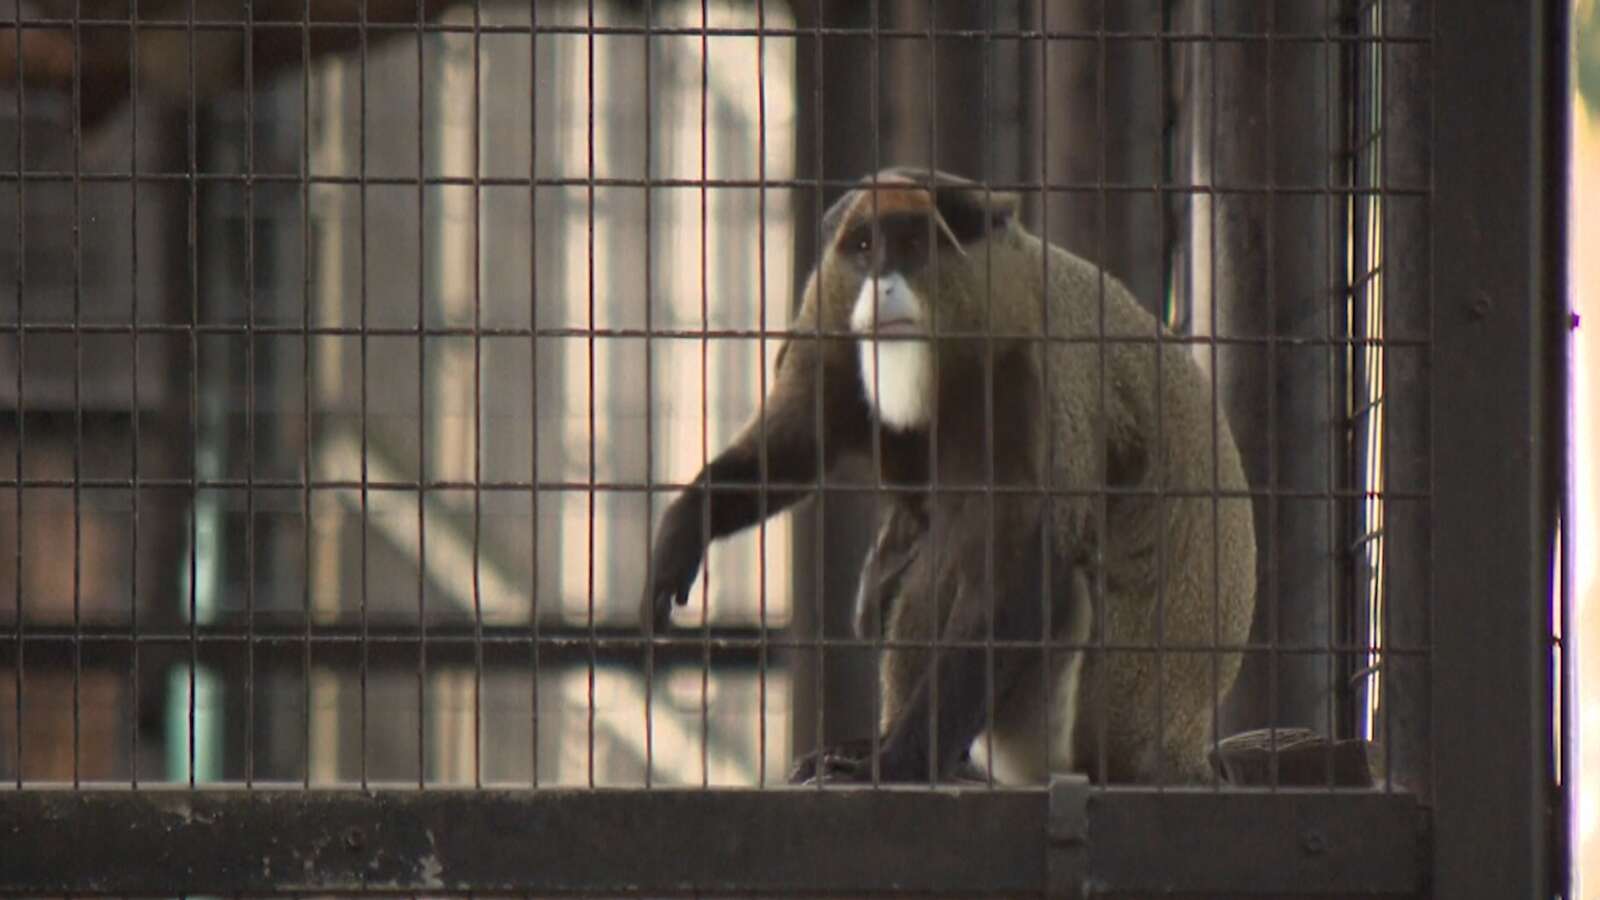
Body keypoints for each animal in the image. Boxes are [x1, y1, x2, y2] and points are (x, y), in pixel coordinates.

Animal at [640, 168, 1260, 784]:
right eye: (864, 247)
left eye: (914, 244)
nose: (881, 283)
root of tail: (1172, 747)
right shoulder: (830, 315)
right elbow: (793, 448)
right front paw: (684, 529)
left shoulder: (1032, 375)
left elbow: (1021, 576)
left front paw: (897, 762)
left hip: (1059, 724)